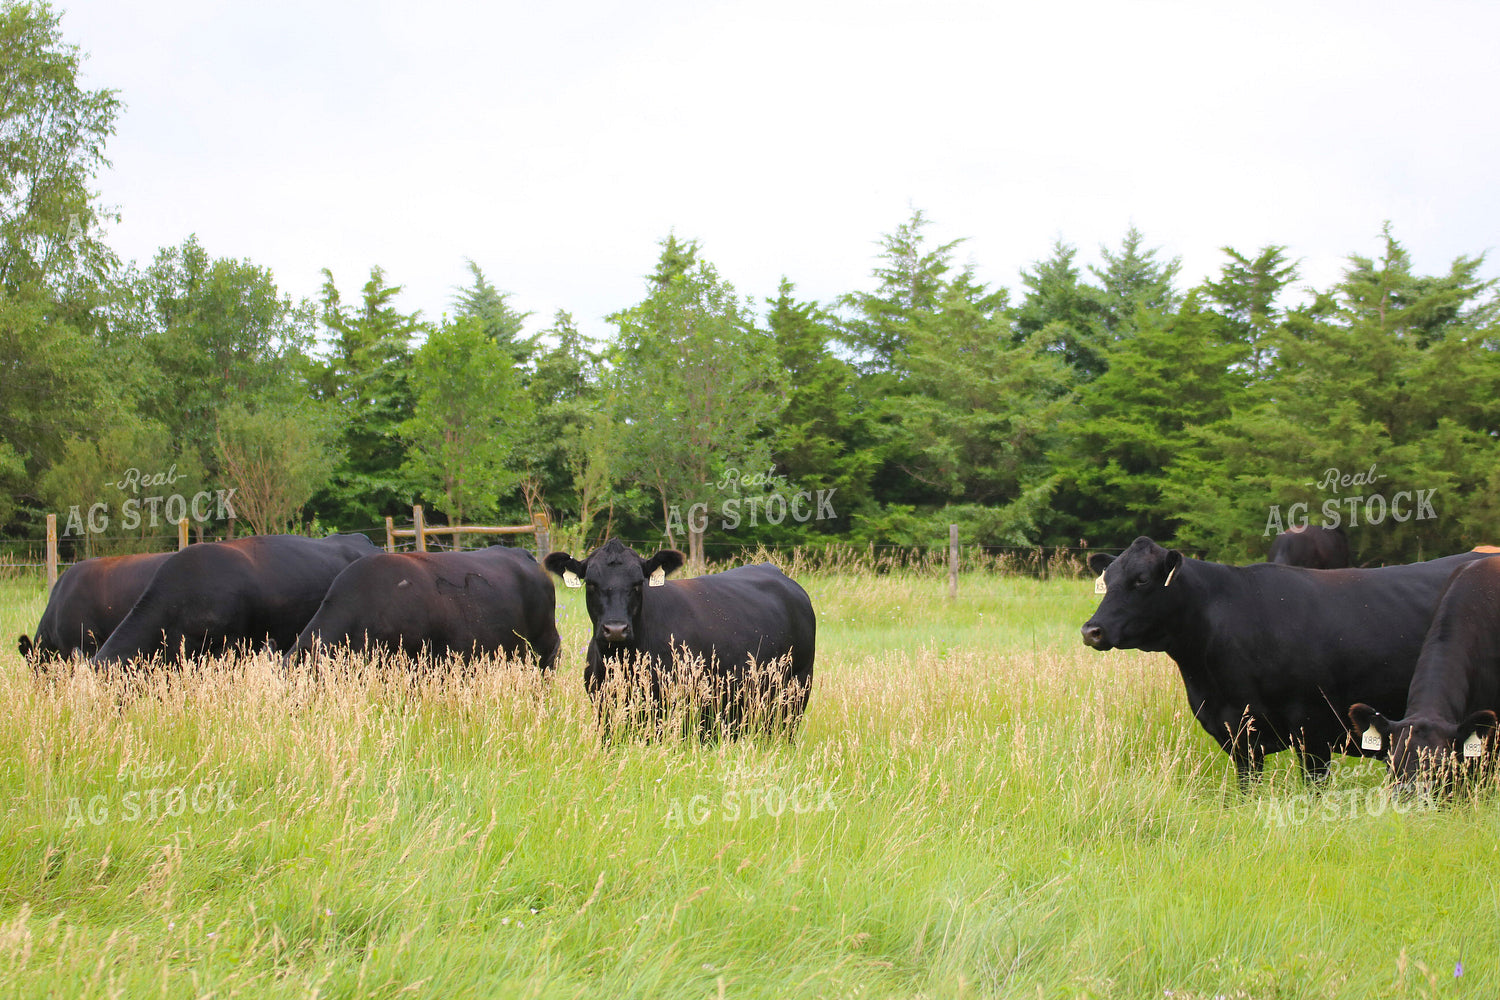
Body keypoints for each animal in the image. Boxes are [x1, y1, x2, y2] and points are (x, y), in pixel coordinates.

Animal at [542, 539, 816, 740]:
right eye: (591, 584)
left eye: (637, 584)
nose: (616, 629)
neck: (622, 659)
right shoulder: (601, 701)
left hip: (797, 687)